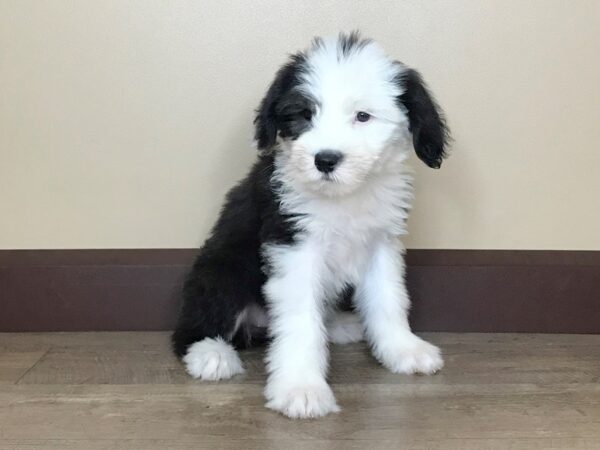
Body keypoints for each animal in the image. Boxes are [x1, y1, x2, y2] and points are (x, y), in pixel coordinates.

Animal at [171, 31, 448, 418]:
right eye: (304, 114)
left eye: (363, 116)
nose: (325, 160)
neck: (342, 198)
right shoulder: (294, 247)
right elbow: (301, 321)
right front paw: (301, 388)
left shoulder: (382, 243)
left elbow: (389, 298)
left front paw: (403, 349)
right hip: (222, 269)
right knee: (190, 328)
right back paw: (211, 354)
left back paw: (341, 324)